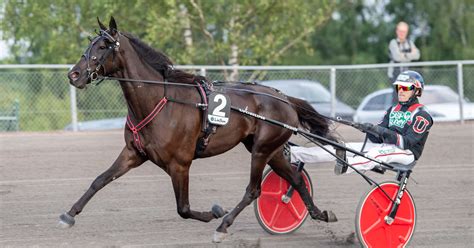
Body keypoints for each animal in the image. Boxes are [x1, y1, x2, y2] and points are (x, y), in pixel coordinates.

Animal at [63, 17, 336, 242]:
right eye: (90, 43)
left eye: (103, 46)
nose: (73, 74)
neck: (159, 101)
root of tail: (285, 98)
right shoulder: (133, 153)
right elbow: (100, 180)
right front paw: (69, 214)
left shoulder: (180, 164)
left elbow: (183, 209)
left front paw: (214, 212)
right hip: (271, 149)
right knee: (295, 179)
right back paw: (320, 213)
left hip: (262, 149)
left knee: (254, 189)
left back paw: (223, 225)